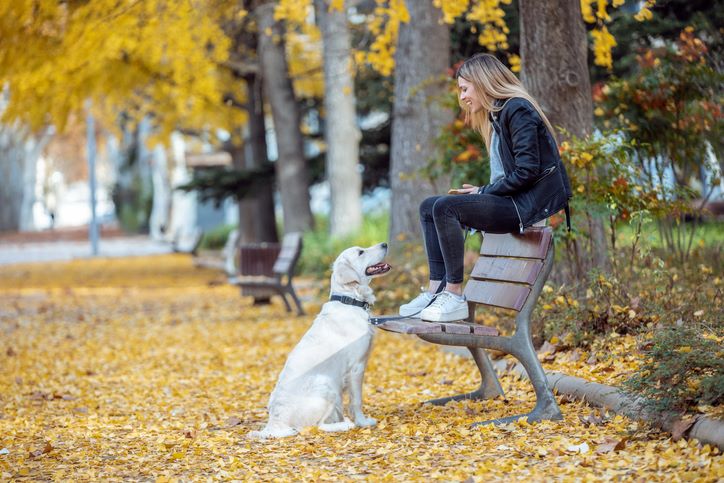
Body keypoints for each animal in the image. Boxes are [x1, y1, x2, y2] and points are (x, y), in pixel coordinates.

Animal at [249, 242, 390, 438]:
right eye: (361, 252)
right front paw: (362, 422)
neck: (349, 300)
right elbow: (356, 400)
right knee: (316, 426)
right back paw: (344, 425)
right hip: (325, 383)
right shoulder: (356, 367)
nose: (385, 244)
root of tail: (275, 423)